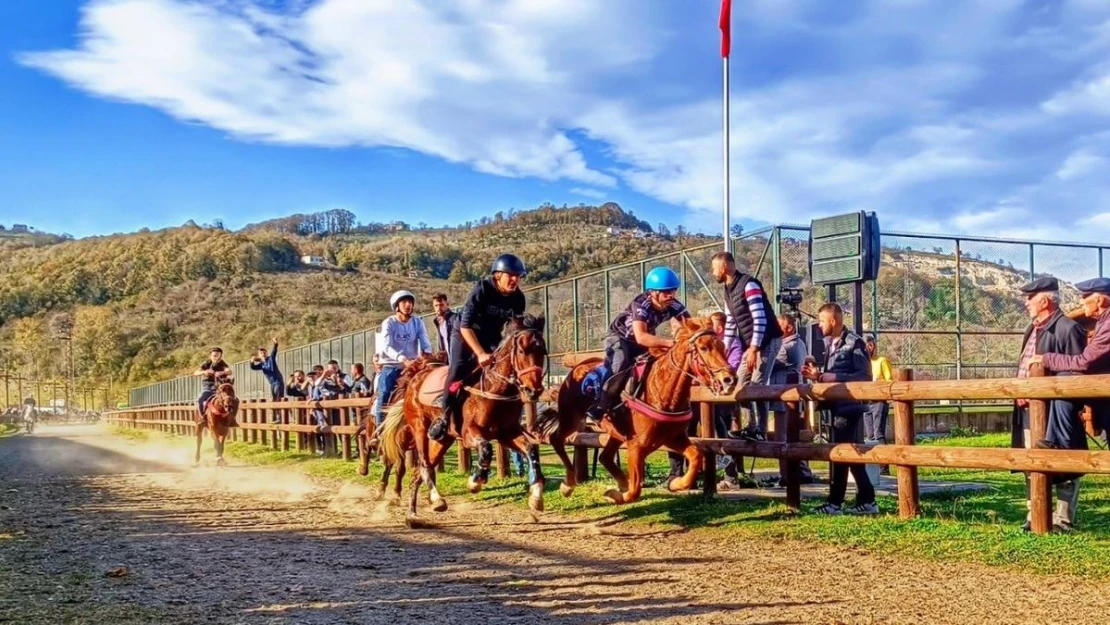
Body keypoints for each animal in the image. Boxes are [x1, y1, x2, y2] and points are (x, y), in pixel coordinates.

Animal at [377, 315, 546, 526]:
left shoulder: (508, 433)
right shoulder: (469, 433)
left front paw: (536, 495)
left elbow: (530, 449)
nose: (534, 390)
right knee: (424, 465)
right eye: (522, 351)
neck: (495, 388)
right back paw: (436, 500)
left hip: (442, 440)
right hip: (419, 428)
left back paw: (412, 515)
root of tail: (414, 378)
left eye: (543, 351)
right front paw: (475, 481)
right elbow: (486, 449)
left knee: (418, 472)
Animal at [537, 317, 737, 503]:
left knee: (605, 457)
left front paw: (676, 483)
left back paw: (618, 482)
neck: (661, 392)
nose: (729, 379)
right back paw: (568, 484)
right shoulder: (636, 446)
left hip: (616, 432)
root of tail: (577, 368)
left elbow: (696, 456)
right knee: (556, 439)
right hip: (570, 417)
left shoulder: (673, 437)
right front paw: (617, 495)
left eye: (722, 345)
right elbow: (634, 491)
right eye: (703, 348)